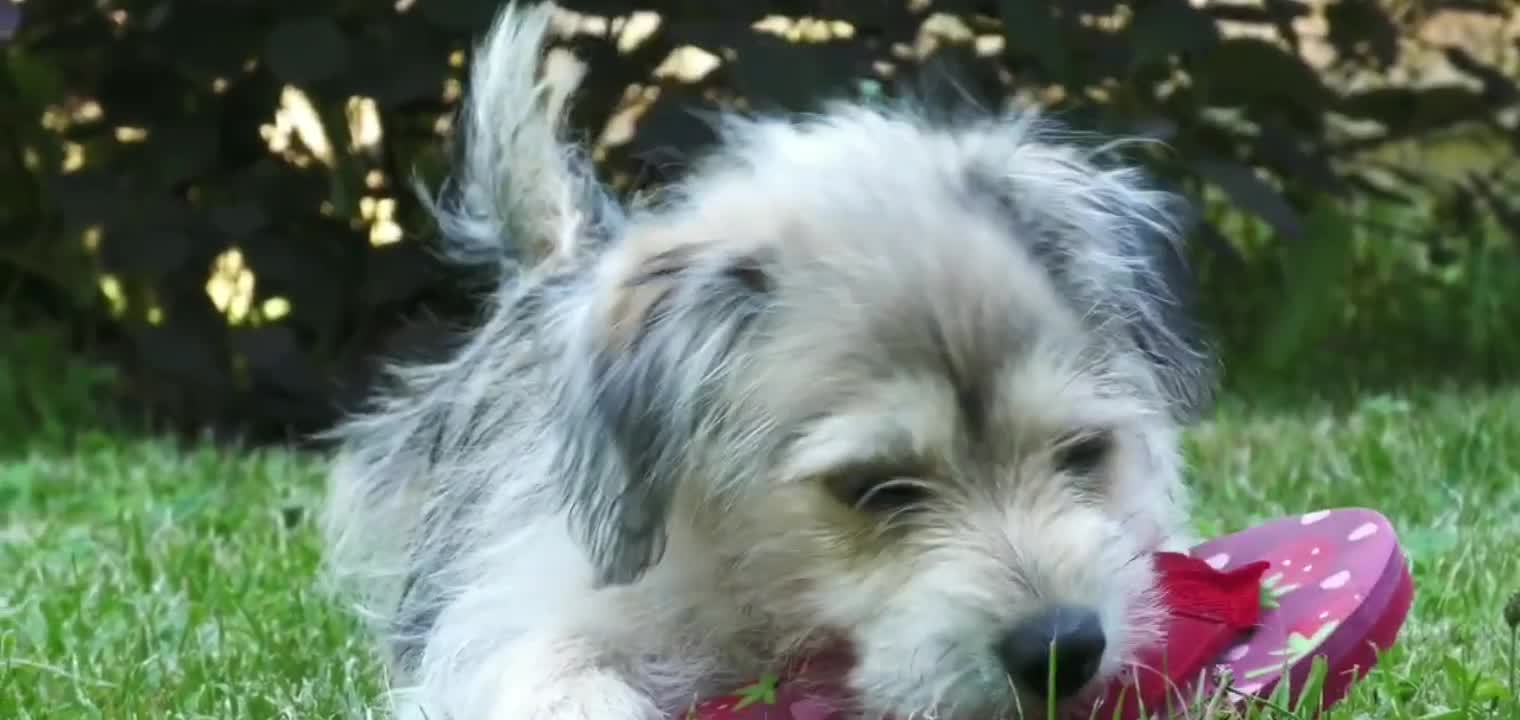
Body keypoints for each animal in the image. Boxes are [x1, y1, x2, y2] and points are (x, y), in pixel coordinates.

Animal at [317, 2, 1209, 716]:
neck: (765, 591)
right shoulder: (528, 612)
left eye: (1085, 452)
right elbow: (554, 667)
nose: (1064, 648)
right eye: (874, 489)